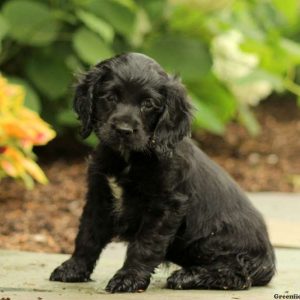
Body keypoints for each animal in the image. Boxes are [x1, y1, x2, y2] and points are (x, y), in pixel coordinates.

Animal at [50, 52, 276, 292]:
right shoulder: (100, 195)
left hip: (215, 242)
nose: (123, 130)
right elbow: (88, 235)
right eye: (110, 97)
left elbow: (145, 244)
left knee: (237, 275)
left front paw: (128, 278)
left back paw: (187, 277)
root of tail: (269, 261)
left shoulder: (165, 205)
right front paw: (73, 268)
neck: (129, 158)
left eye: (148, 104)